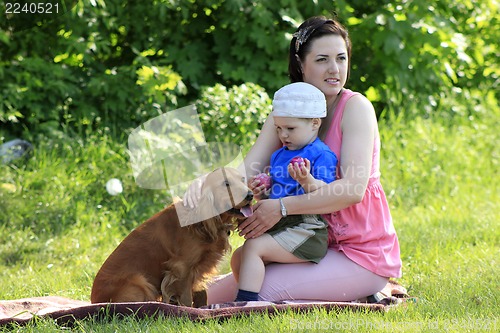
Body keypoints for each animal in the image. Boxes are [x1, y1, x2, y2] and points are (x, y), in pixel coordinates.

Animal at [90, 167, 252, 304]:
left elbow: (202, 294)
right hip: (139, 282)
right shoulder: (182, 267)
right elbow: (186, 298)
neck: (200, 222)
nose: (250, 195)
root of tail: (94, 301)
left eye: (242, 179)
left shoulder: (198, 269)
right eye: (226, 183)